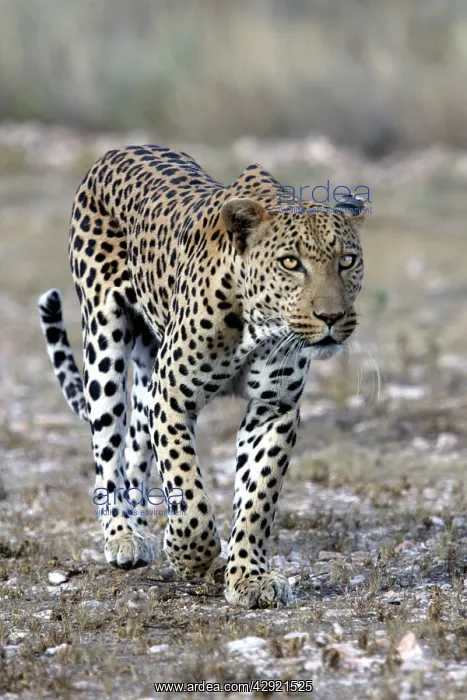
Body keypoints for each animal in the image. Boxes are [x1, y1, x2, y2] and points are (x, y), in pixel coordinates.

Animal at [37, 144, 365, 608]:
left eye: (347, 262)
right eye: (291, 263)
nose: (332, 318)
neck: (257, 325)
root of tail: (119, 150)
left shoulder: (274, 409)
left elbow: (258, 496)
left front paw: (249, 577)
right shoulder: (172, 396)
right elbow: (185, 483)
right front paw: (191, 554)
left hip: (147, 366)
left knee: (135, 447)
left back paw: (140, 526)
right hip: (104, 339)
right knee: (107, 448)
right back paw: (123, 535)